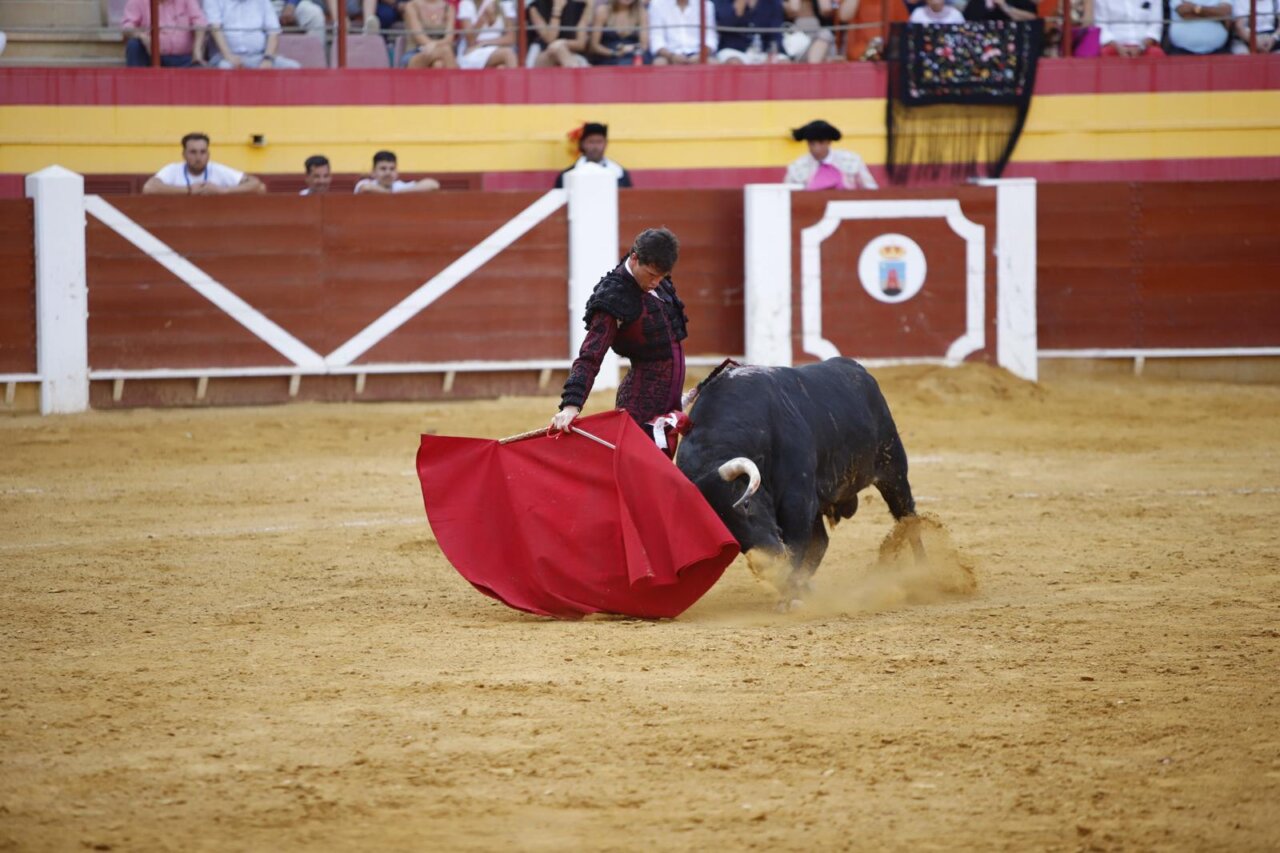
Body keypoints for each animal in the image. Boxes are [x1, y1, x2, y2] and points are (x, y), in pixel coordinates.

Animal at [676, 358, 922, 608]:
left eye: (745, 504)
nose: (768, 560)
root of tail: (858, 370)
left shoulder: (797, 500)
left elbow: (796, 545)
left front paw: (789, 598)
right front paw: (792, 589)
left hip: (893, 470)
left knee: (909, 518)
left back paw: (924, 574)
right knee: (821, 542)